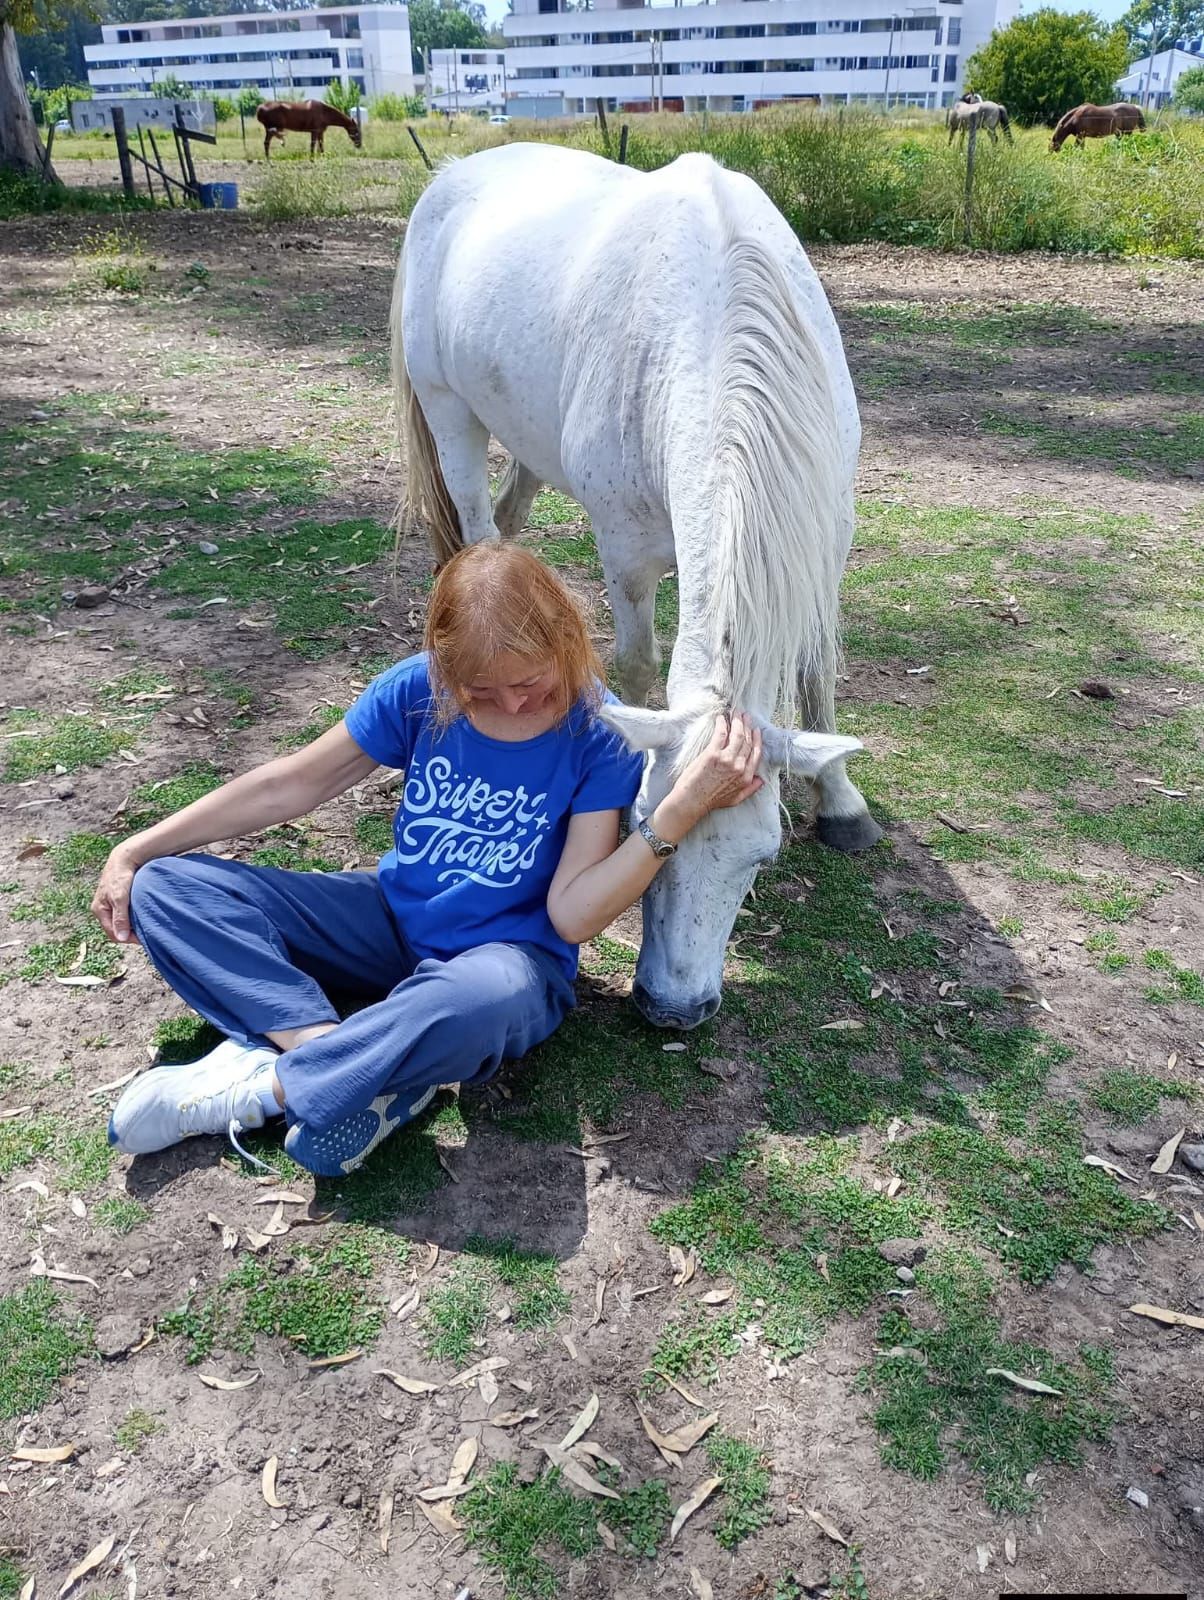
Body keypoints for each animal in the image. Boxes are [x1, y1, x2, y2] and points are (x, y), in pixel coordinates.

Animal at [392, 143, 881, 1030]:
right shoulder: (626, 556)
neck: (721, 318)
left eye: (761, 855)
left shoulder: (823, 552)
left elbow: (817, 675)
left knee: (508, 520)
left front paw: (841, 801)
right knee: (477, 527)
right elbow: (640, 667)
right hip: (451, 416)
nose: (673, 1008)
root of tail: (451, 172)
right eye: (642, 824)